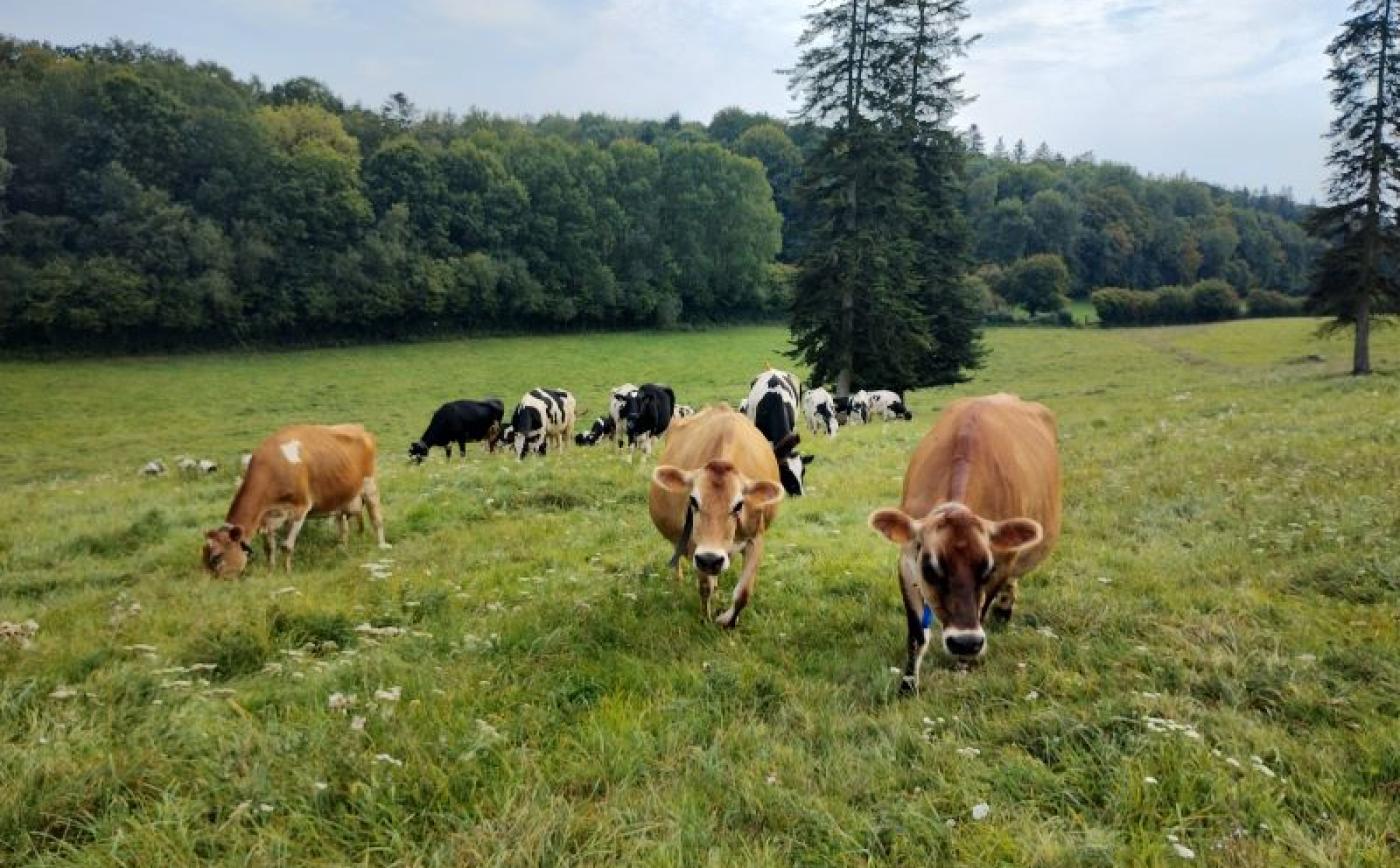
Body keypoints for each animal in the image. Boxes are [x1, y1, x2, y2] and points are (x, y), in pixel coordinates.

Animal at [203, 422, 389, 579]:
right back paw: (342, 549)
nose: (208, 585)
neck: (272, 470)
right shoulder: (267, 517)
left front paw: (287, 573)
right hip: (342, 496)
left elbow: (286, 546)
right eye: (203, 556)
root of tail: (359, 427)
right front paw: (270, 573)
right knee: (343, 527)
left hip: (370, 485)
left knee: (376, 518)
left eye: (216, 557)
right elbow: (269, 548)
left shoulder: (300, 509)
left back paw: (381, 546)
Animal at [646, 403, 784, 627]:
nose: (711, 559)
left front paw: (727, 620)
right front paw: (706, 618)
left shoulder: (756, 538)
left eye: (739, 505)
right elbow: (704, 588)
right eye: (693, 501)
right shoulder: (695, 546)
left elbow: (743, 593)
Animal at [862, 392, 1058, 691]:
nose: (965, 643)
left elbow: (983, 608)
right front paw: (908, 685)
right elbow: (917, 635)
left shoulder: (1003, 563)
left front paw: (964, 665)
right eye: (930, 569)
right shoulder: (907, 561)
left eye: (987, 568)